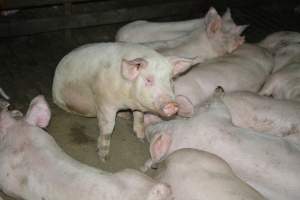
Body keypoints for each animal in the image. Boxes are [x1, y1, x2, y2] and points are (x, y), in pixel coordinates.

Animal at [51, 42, 197, 161]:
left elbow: (139, 117)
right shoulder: (105, 103)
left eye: (170, 80)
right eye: (149, 80)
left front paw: (141, 138)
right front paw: (103, 157)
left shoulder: (136, 106)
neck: (128, 100)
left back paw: (125, 115)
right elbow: (108, 128)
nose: (172, 104)